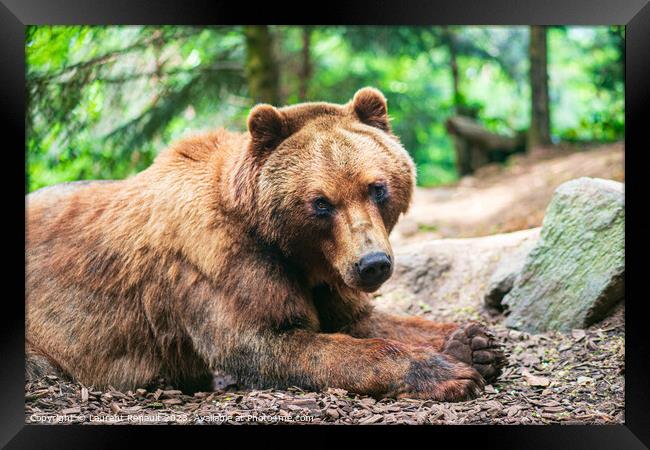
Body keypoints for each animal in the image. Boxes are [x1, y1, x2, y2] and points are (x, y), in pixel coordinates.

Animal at [26, 88, 502, 400]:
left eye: (377, 187)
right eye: (321, 202)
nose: (373, 264)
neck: (295, 251)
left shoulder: (327, 275)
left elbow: (362, 319)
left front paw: (474, 343)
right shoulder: (223, 265)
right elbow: (270, 341)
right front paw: (449, 373)